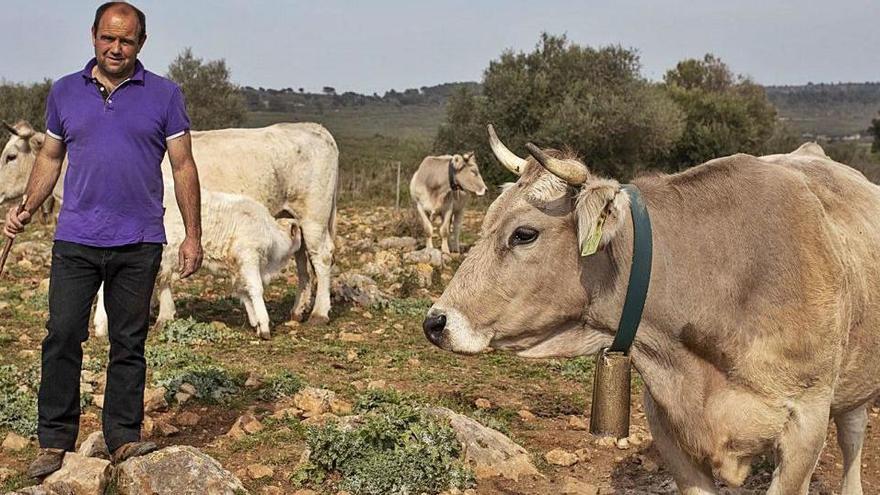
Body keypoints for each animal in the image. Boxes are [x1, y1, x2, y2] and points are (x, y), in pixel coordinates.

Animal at [93, 184, 300, 340]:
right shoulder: (248, 256)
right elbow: (256, 290)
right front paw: (264, 325)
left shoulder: (238, 268)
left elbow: (244, 292)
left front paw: (255, 322)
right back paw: (103, 326)